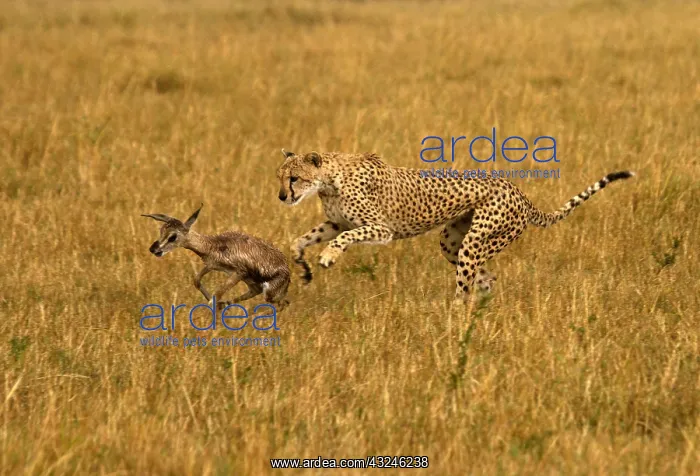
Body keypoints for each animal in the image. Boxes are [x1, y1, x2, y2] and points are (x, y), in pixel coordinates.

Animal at [275, 149, 635, 301]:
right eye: (279, 177)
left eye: (294, 178)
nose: (281, 196)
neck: (328, 180)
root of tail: (520, 193)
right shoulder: (334, 223)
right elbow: (300, 240)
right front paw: (303, 267)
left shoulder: (382, 230)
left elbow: (347, 237)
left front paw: (328, 257)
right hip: (452, 243)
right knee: (486, 276)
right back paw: (482, 306)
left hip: (476, 241)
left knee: (467, 284)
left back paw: (456, 317)